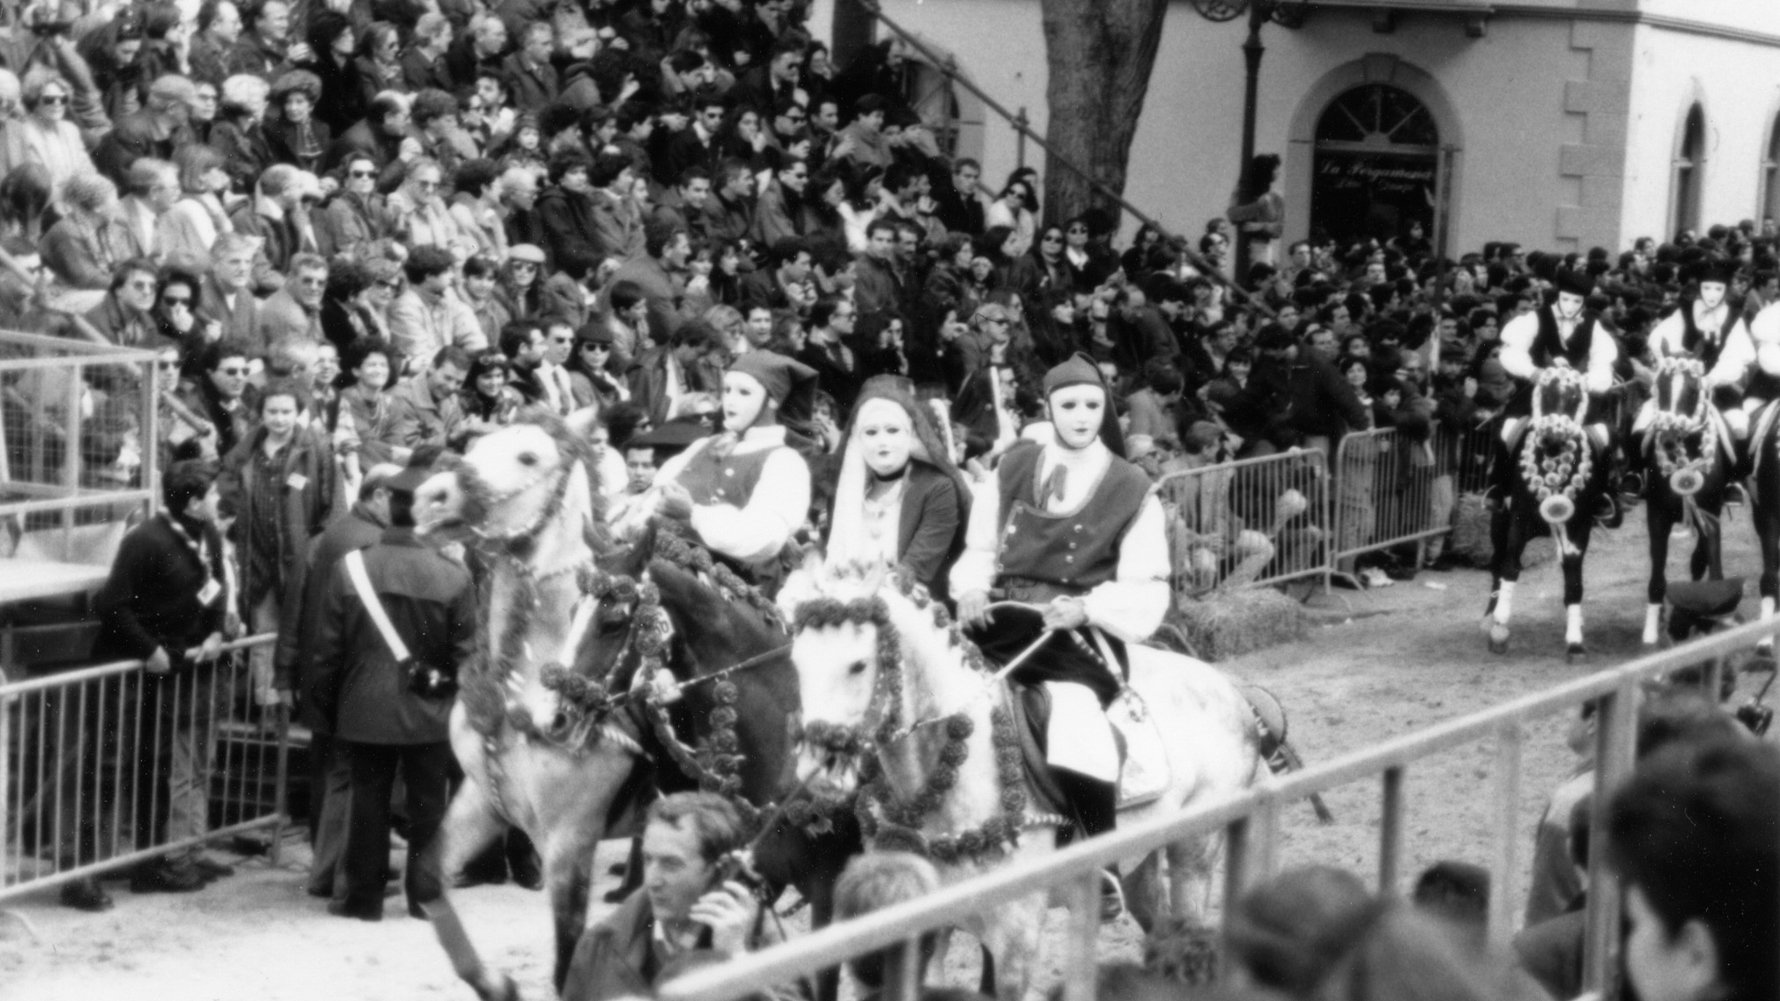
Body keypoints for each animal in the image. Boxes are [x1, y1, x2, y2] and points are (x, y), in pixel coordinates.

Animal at [786, 562, 1274, 997]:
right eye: (796, 663)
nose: (817, 769)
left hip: (1195, 849)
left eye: (857, 665)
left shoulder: (1015, 939)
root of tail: (1232, 691)